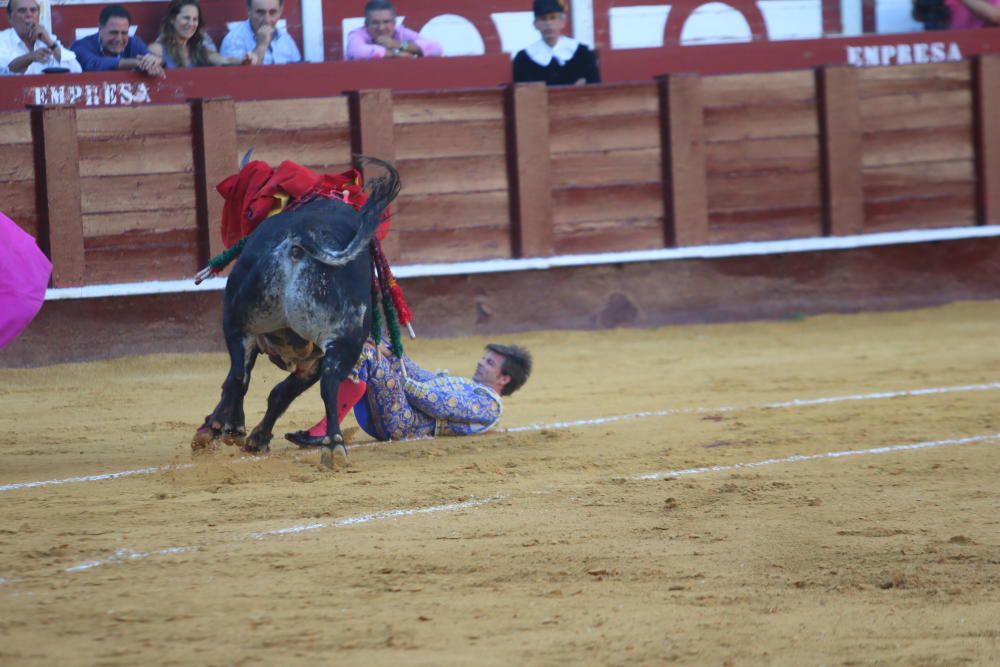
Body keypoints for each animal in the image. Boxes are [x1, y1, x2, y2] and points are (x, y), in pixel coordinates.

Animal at [193, 157, 400, 464]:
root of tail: (298, 245)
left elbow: (265, 389)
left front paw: (225, 430)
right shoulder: (310, 361)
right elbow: (280, 394)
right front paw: (247, 436)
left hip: (238, 324)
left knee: (239, 376)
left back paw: (232, 428)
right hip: (343, 340)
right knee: (328, 382)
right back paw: (333, 445)